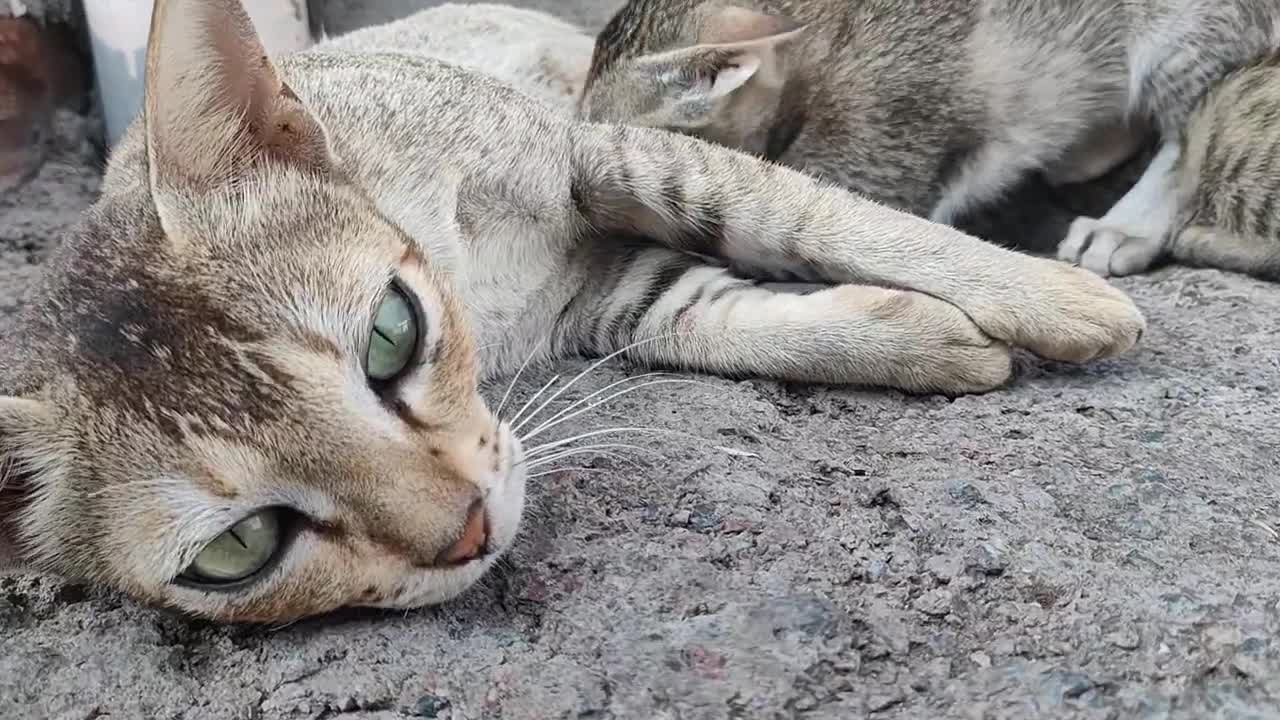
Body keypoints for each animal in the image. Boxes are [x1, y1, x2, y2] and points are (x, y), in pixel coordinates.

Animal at [0, 0, 1146, 620]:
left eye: (390, 335)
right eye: (239, 552)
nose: (467, 529)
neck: (471, 276)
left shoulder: (605, 149)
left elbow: (803, 207)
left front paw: (1048, 296)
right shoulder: (616, 297)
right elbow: (722, 317)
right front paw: (921, 336)